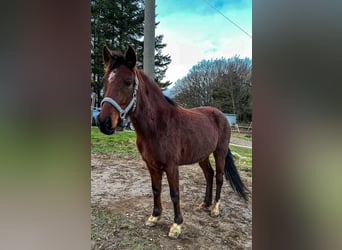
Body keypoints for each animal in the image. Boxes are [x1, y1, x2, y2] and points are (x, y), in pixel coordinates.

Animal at [97, 45, 248, 238]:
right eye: (104, 81)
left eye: (128, 82)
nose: (104, 122)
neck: (158, 125)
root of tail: (220, 115)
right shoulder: (151, 165)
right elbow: (156, 189)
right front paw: (154, 217)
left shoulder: (171, 166)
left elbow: (174, 193)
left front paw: (176, 225)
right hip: (202, 155)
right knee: (209, 174)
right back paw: (205, 204)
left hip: (219, 152)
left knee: (220, 177)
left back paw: (215, 208)